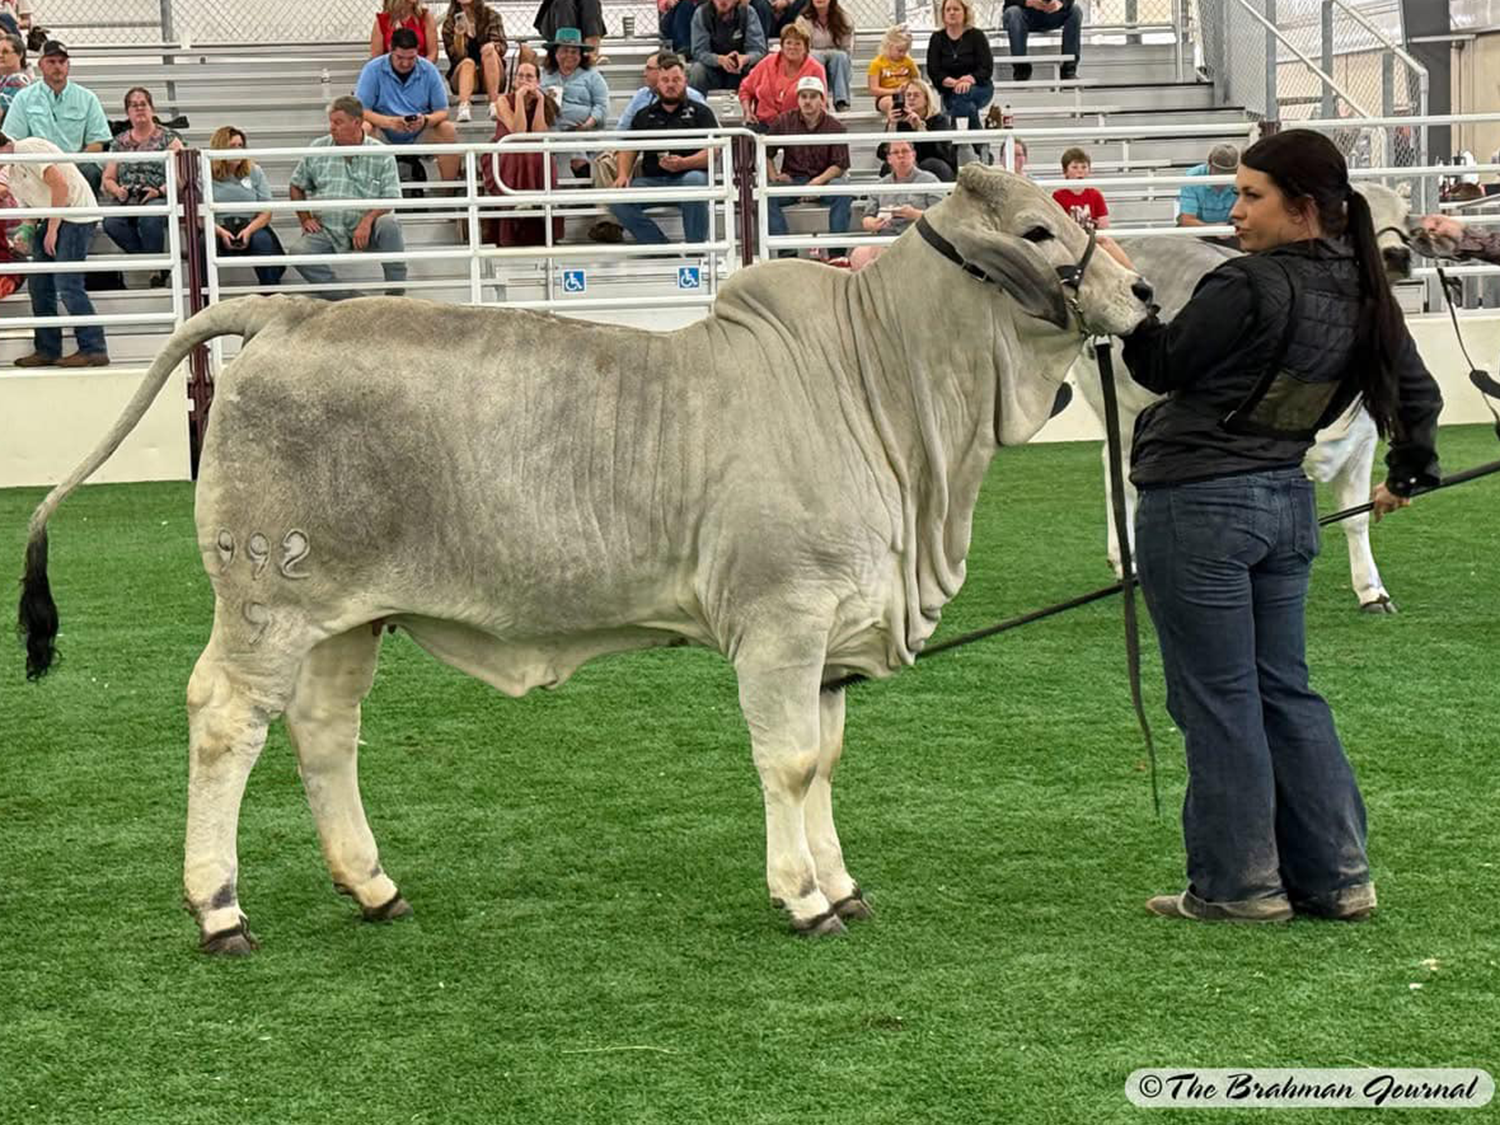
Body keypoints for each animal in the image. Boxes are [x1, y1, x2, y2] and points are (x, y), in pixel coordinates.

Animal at [17, 165, 1152, 954]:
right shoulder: (782, 624)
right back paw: (219, 909)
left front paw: (843, 884)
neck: (883, 392)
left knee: (325, 733)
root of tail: (287, 312)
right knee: (225, 722)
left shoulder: (834, 637)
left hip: (347, 618)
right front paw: (802, 898)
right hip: (265, 602)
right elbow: (787, 762)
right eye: (1040, 229)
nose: (1143, 292)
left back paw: (374, 886)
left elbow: (823, 763)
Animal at [1074, 183, 1410, 618]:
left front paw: (1372, 592)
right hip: (1118, 401)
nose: (1397, 254)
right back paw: (1125, 561)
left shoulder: (1363, 440)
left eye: (1406, 215)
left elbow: (1357, 518)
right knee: (1119, 470)